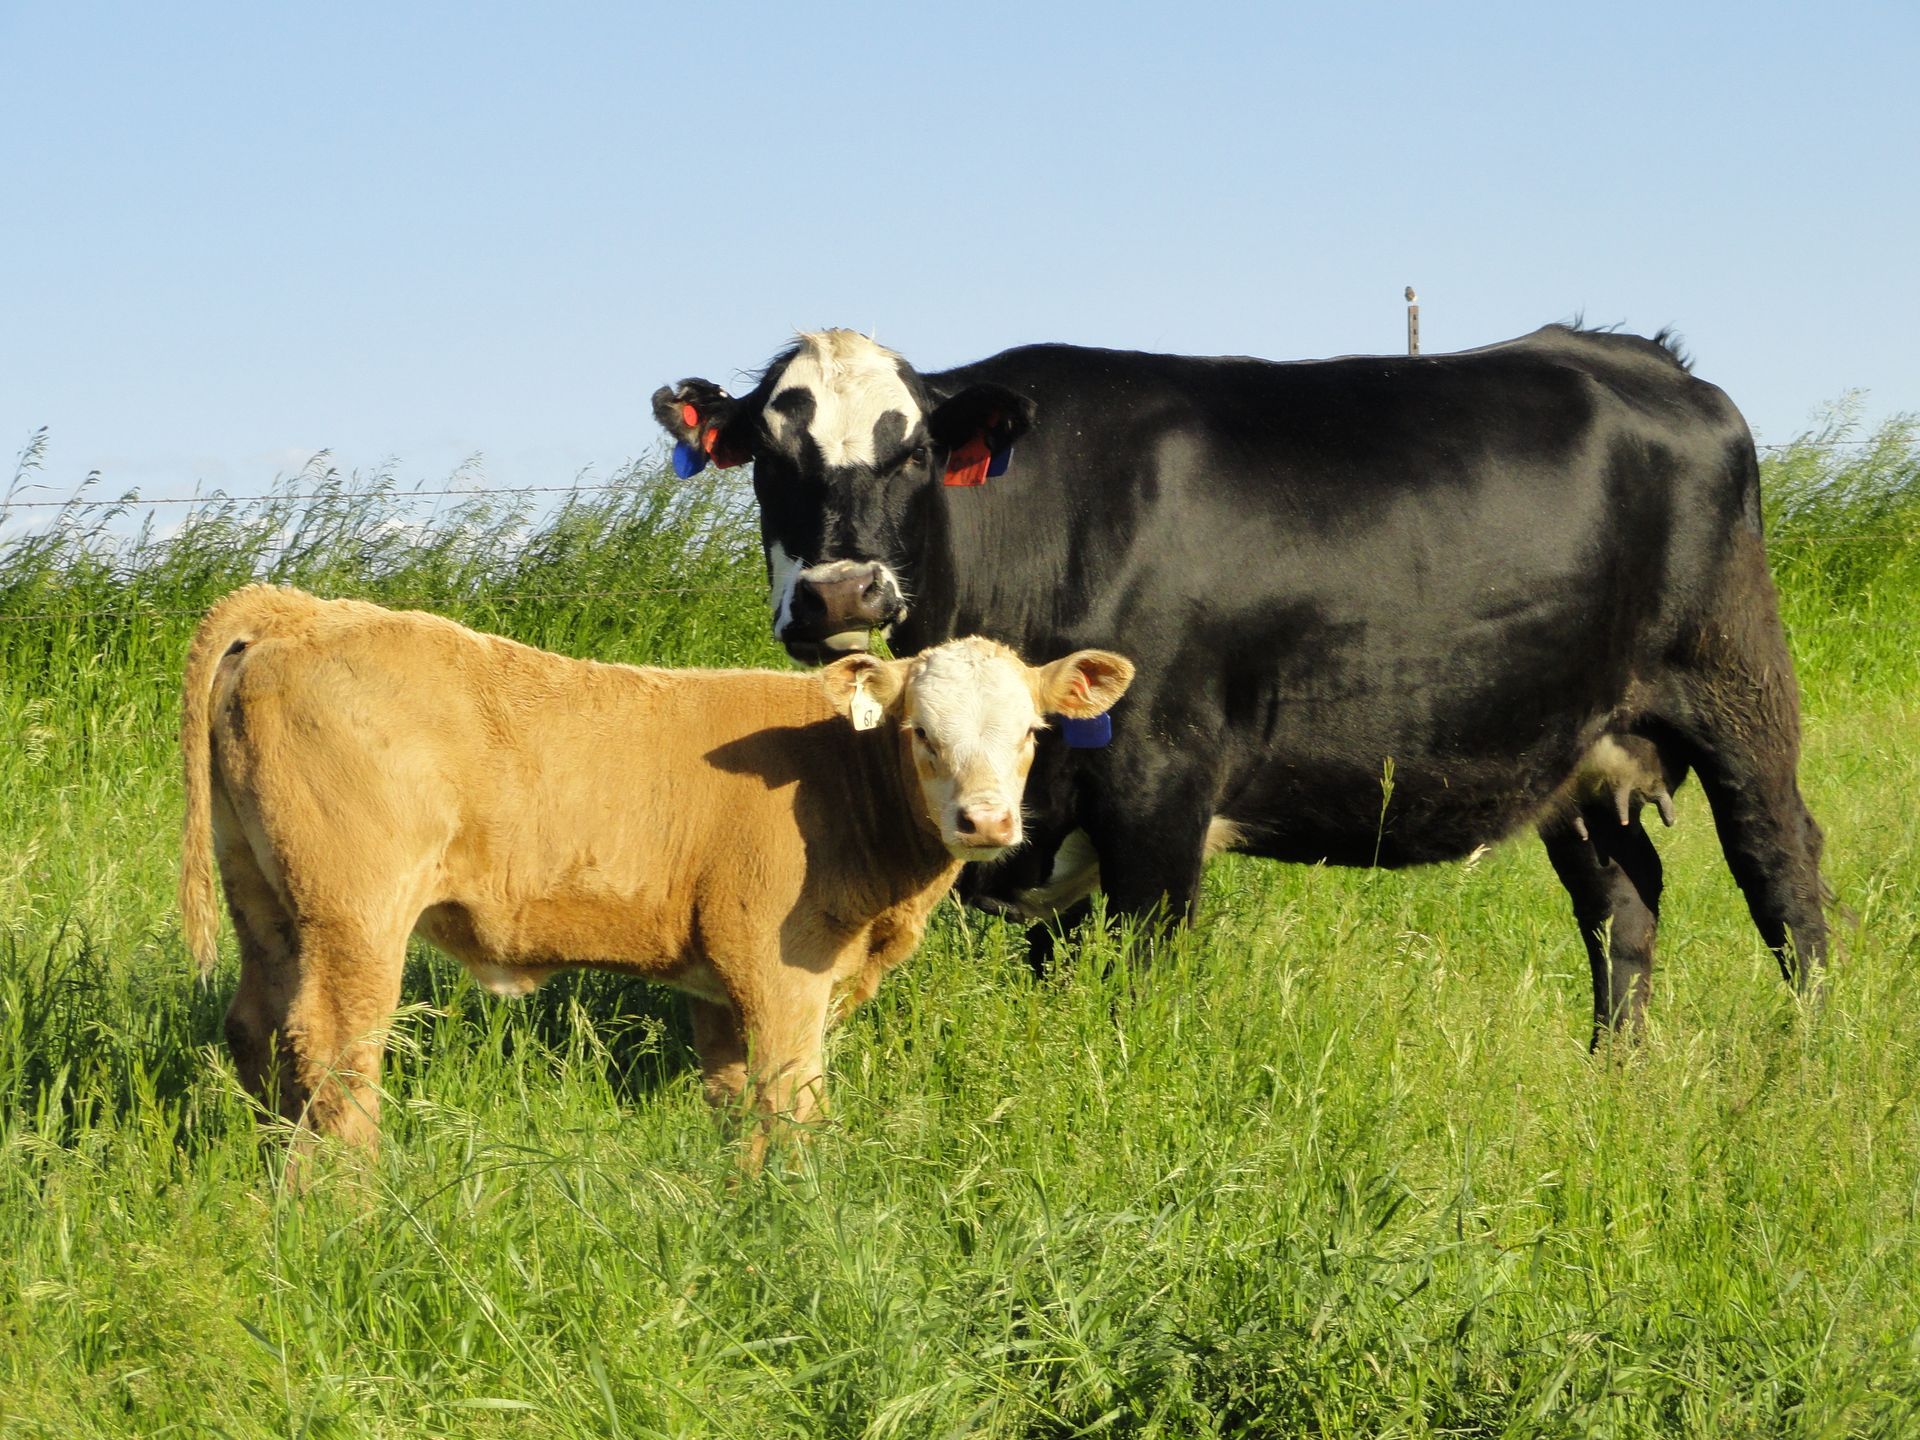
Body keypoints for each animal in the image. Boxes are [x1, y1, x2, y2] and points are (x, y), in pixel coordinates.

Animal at [177, 584, 1133, 1161]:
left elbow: (731, 1091)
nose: (986, 821)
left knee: (256, 1027)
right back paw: (353, 1201)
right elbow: (793, 1093)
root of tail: (297, 608)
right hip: (355, 914)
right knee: (335, 1047)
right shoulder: (783, 963)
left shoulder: (719, 980)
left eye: (1032, 733)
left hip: (265, 898)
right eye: (920, 732)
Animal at [651, 324, 1831, 1041]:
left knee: (1782, 874)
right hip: (1579, 753)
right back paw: (1613, 1074)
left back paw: (1806, 1061)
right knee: (1623, 903)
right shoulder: (1044, 817)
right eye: (770, 455)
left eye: (909, 454)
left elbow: (1140, 978)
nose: (840, 591)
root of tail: (1647, 358)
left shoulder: (1159, 793)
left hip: (1739, 692)